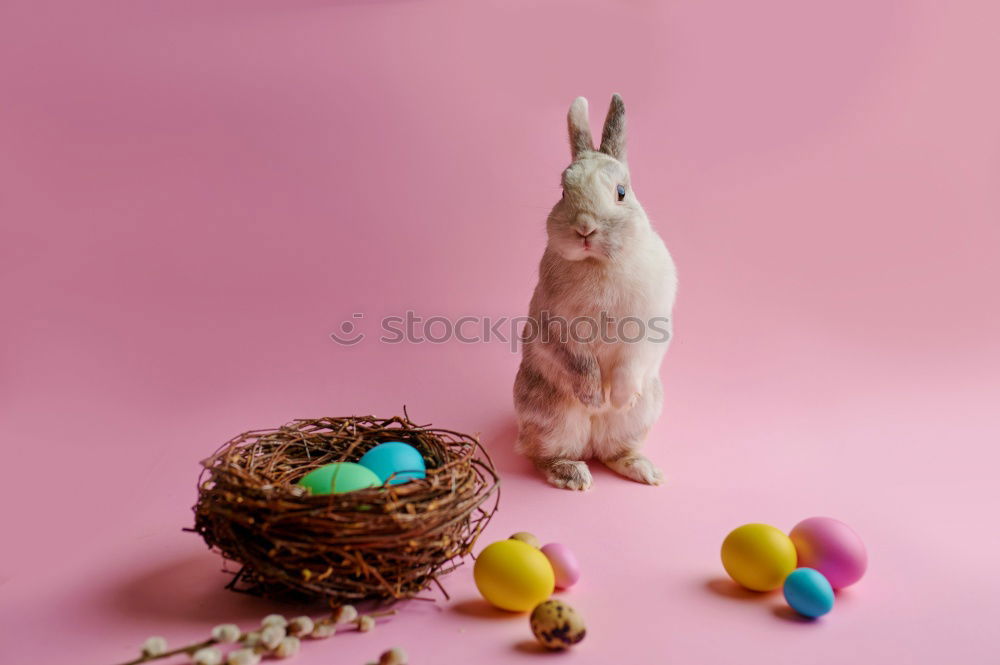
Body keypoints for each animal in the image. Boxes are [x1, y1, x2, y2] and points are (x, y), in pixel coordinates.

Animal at [516, 94, 680, 488]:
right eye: (563, 192)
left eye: (621, 192)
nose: (585, 228)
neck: (599, 263)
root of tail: (589, 443)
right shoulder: (556, 325)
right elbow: (577, 360)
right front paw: (593, 397)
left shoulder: (647, 326)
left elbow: (631, 361)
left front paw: (617, 399)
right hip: (550, 420)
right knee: (540, 454)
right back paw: (574, 473)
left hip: (639, 419)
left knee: (614, 452)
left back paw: (645, 470)